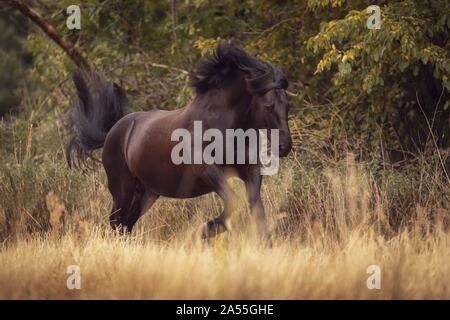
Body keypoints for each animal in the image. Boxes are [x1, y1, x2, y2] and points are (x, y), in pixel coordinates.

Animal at [67, 42, 292, 242]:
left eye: (288, 104)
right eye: (269, 105)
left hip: (146, 193)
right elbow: (232, 200)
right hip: (122, 188)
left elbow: (256, 209)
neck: (223, 125)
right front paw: (204, 230)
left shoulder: (250, 171)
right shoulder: (207, 170)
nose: (284, 146)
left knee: (126, 225)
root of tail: (112, 131)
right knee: (116, 223)